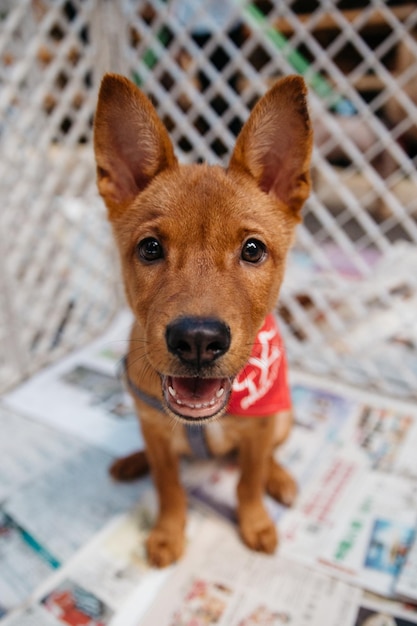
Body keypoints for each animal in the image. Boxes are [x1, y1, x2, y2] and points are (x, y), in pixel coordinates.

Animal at [92, 74, 310, 564]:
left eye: (253, 249)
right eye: (150, 247)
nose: (196, 340)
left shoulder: (260, 428)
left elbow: (248, 482)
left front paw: (256, 522)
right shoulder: (156, 432)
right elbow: (168, 485)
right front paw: (169, 533)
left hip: (284, 417)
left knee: (269, 456)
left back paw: (281, 478)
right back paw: (132, 461)